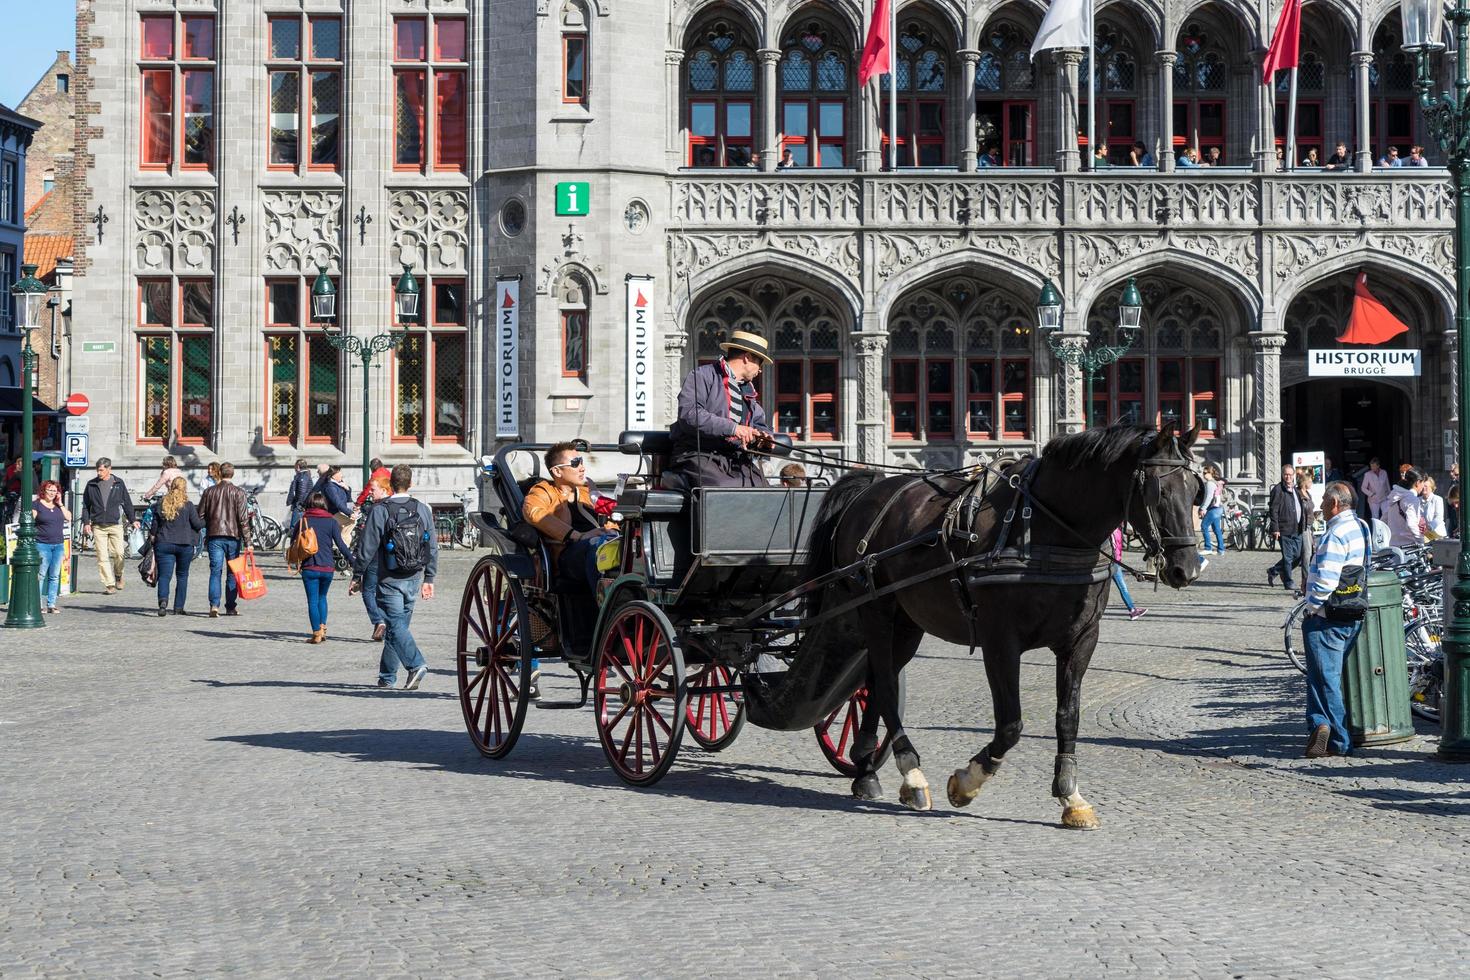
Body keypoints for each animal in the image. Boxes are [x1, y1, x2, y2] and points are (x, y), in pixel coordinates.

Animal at [805, 423, 1205, 828]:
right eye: (1158, 490)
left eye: (1195, 490)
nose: (1185, 569)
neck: (1046, 530)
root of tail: (870, 488)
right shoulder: (1000, 641)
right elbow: (1011, 723)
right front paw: (967, 782)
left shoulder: (1082, 639)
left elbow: (1068, 716)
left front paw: (1071, 796)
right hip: (875, 609)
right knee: (885, 683)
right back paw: (911, 774)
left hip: (907, 623)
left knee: (873, 681)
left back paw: (866, 770)